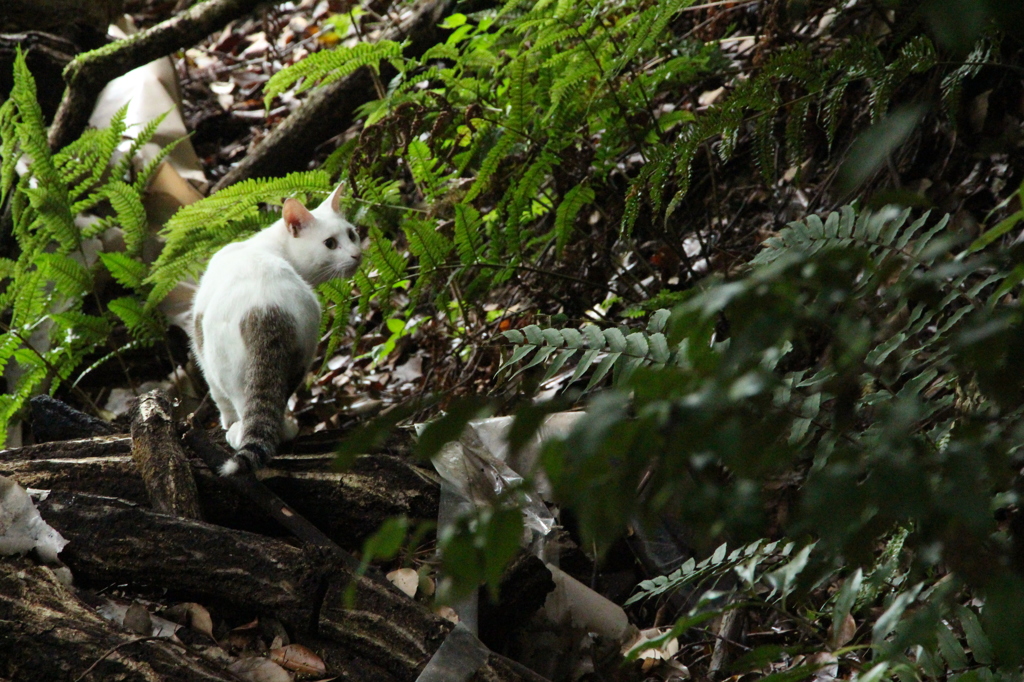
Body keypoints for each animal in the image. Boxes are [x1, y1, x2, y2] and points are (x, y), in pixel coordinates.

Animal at [190, 183, 362, 475]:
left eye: (351, 234)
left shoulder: (200, 345)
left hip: (226, 366)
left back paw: (238, 432)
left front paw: (226, 422)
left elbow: (218, 398)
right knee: (274, 403)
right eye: (330, 243)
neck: (269, 246)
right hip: (301, 354)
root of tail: (267, 308)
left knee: (242, 404)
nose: (357, 254)